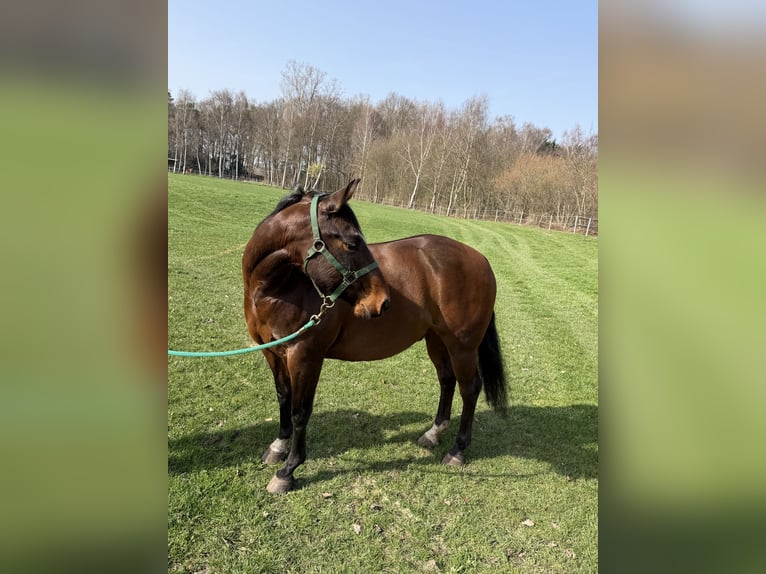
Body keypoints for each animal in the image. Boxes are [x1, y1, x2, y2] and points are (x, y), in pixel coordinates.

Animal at [242, 179, 507, 493]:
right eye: (353, 242)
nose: (382, 302)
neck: (279, 287)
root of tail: (481, 260)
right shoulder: (273, 351)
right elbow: (284, 397)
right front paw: (278, 447)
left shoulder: (305, 356)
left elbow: (300, 411)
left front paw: (288, 470)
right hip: (437, 340)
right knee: (447, 380)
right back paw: (433, 432)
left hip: (462, 347)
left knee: (470, 388)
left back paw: (457, 450)